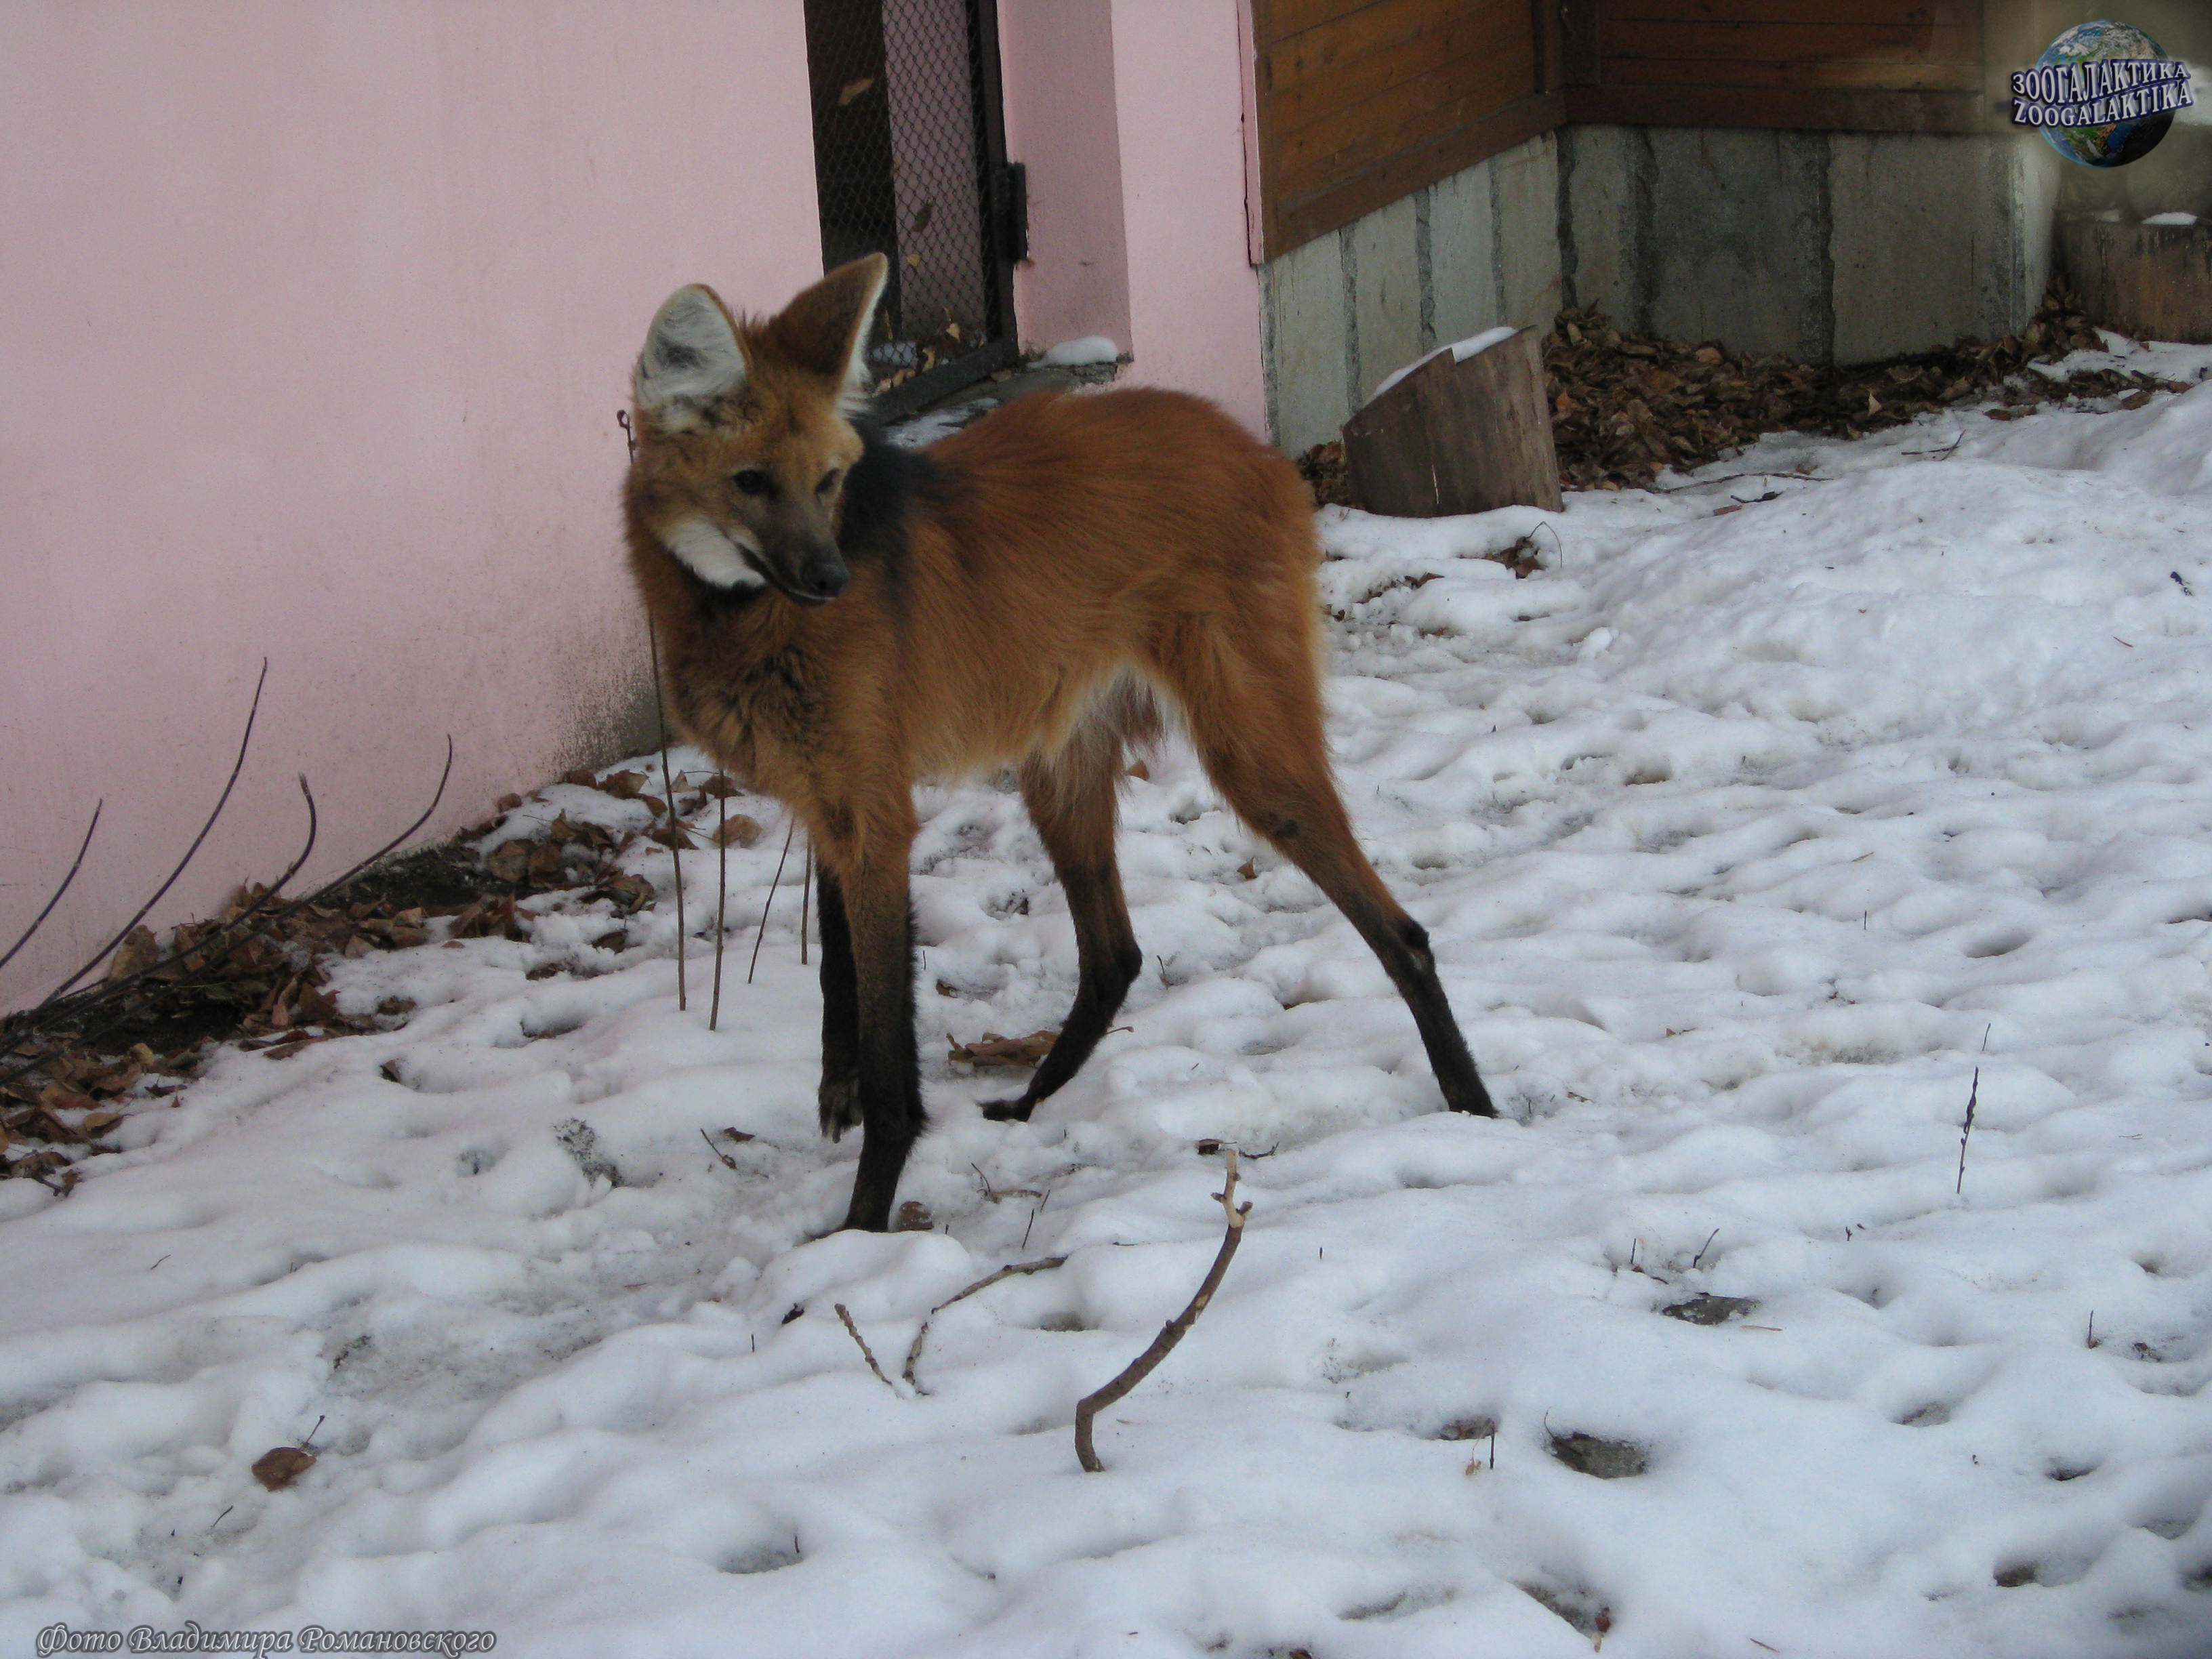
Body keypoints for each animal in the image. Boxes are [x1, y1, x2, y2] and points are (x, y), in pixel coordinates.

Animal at [623, 254, 1493, 1232]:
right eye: (752, 481)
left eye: (827, 481)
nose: (830, 578)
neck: (737, 616)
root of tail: (1254, 445)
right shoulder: (830, 801)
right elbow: (837, 972)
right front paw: (837, 1099)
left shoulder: (873, 814)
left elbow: (889, 1051)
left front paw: (860, 1228)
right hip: (1060, 763)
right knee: (1115, 955)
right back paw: (1030, 1102)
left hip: (1247, 753)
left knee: (1402, 935)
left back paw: (1475, 1108)